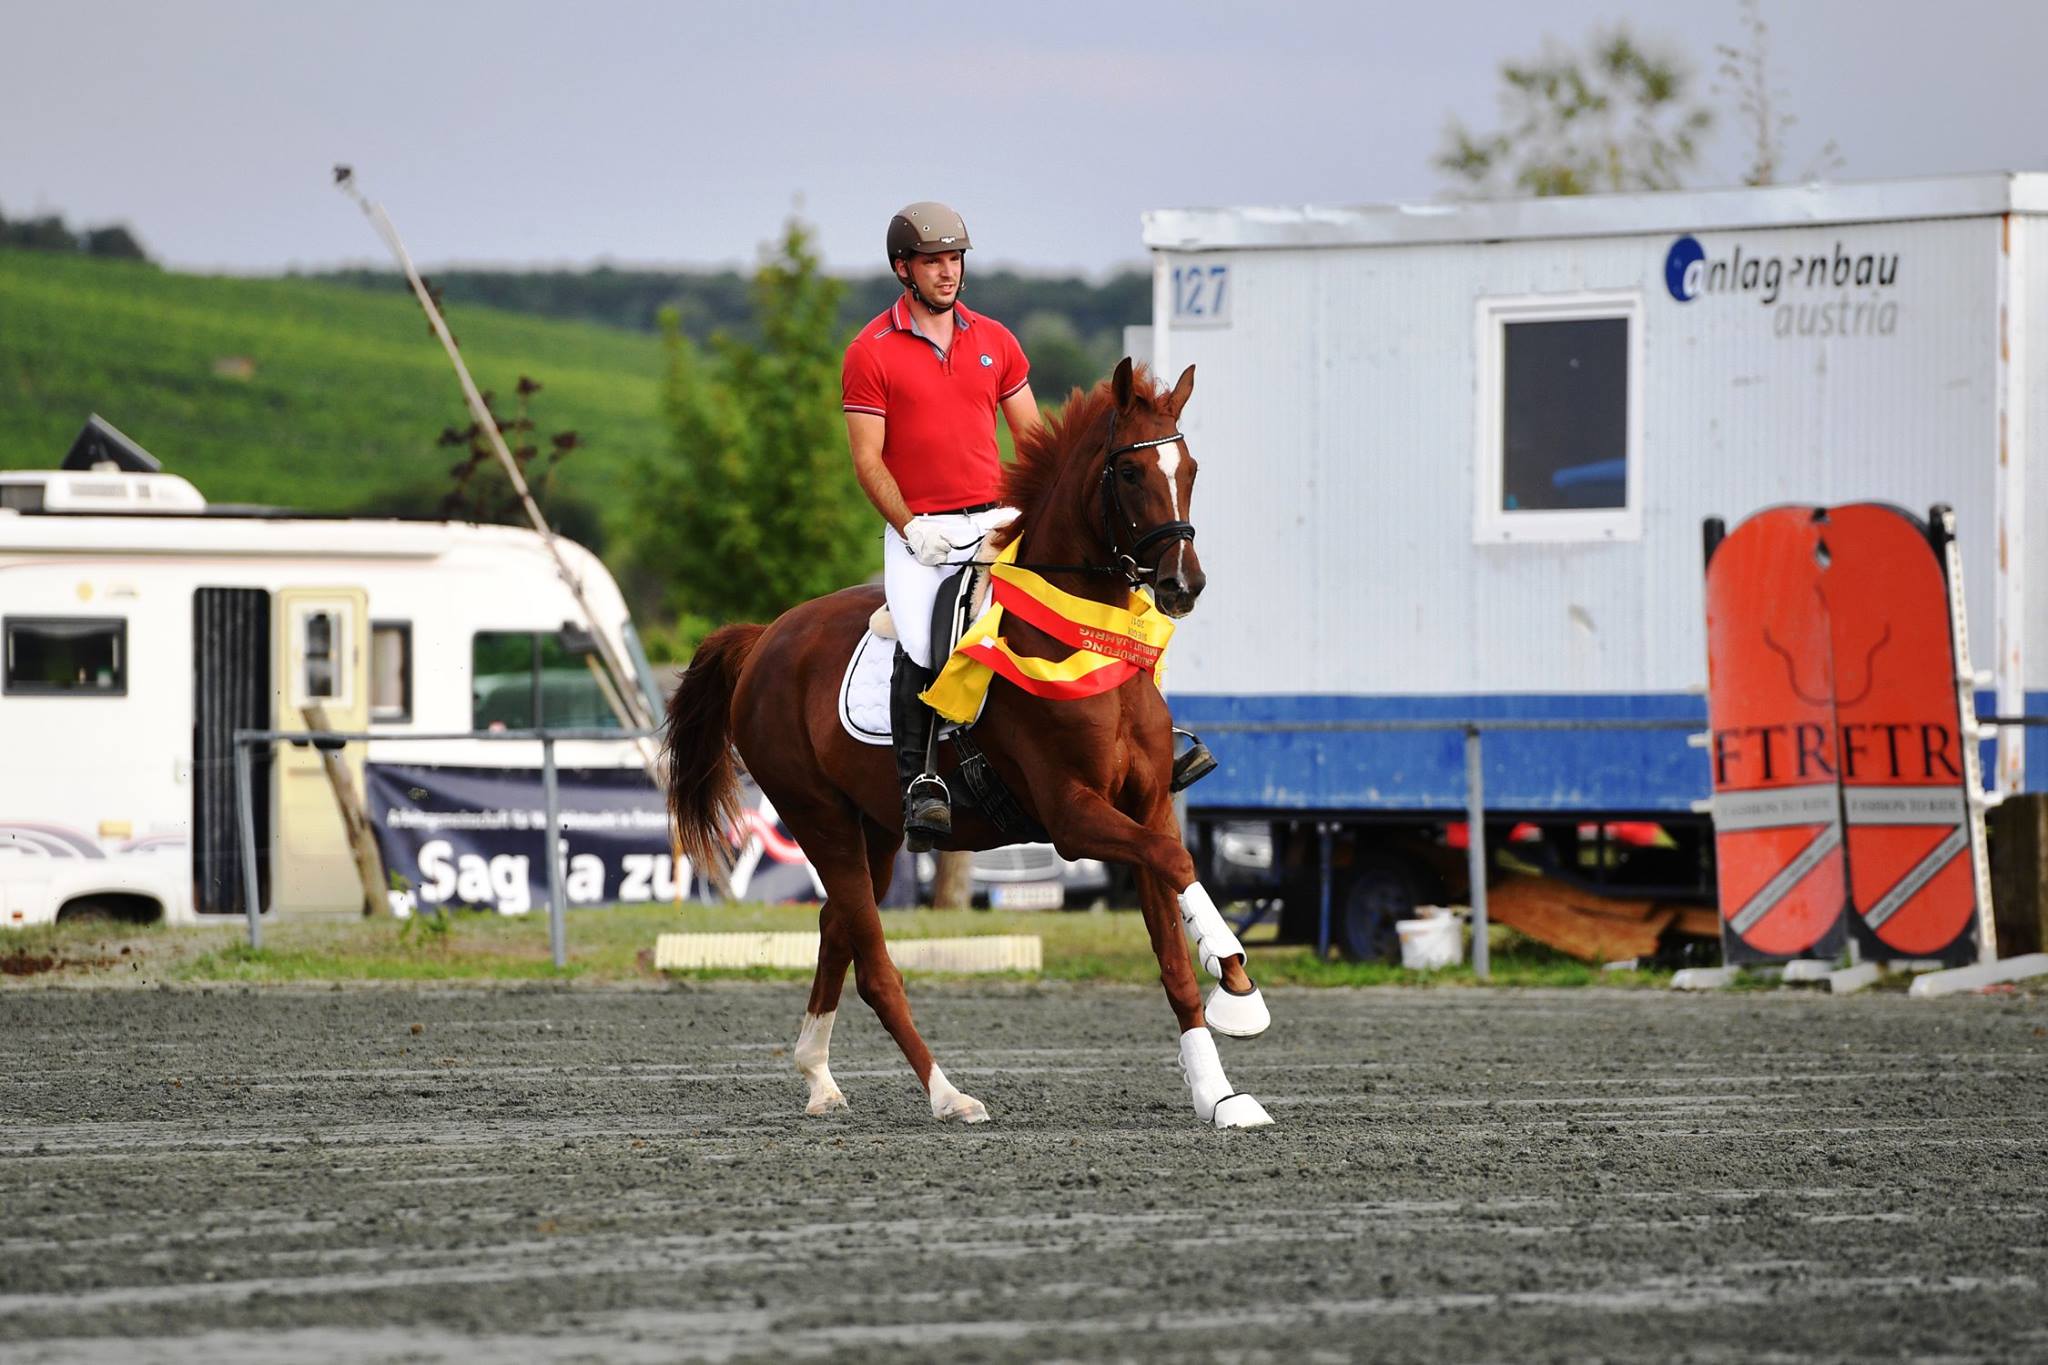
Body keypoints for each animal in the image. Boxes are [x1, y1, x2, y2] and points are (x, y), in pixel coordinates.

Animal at [671, 360, 1269, 1129]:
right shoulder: (1073, 815)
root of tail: (767, 636)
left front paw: (1218, 1088)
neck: (1081, 637)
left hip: (876, 829)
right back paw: (946, 1093)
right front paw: (1236, 977)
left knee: (838, 925)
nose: (1182, 585)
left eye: (1189, 468)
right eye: (1131, 471)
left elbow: (1171, 937)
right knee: (874, 961)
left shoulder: (1147, 805)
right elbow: (1177, 861)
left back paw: (818, 1077)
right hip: (817, 816)